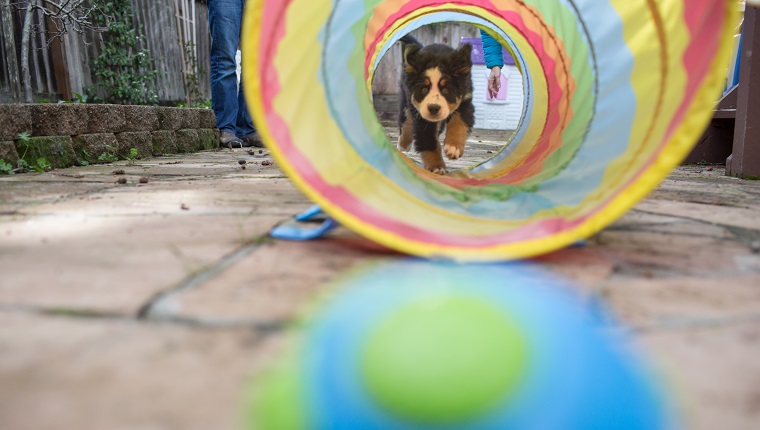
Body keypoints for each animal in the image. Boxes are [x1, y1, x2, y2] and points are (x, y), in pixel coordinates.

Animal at [398, 34, 476, 173]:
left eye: (445, 90)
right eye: (424, 89)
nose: (433, 108)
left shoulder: (465, 101)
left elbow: (459, 123)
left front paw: (453, 147)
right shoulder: (422, 117)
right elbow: (429, 141)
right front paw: (437, 166)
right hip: (406, 99)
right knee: (405, 120)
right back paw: (403, 144)